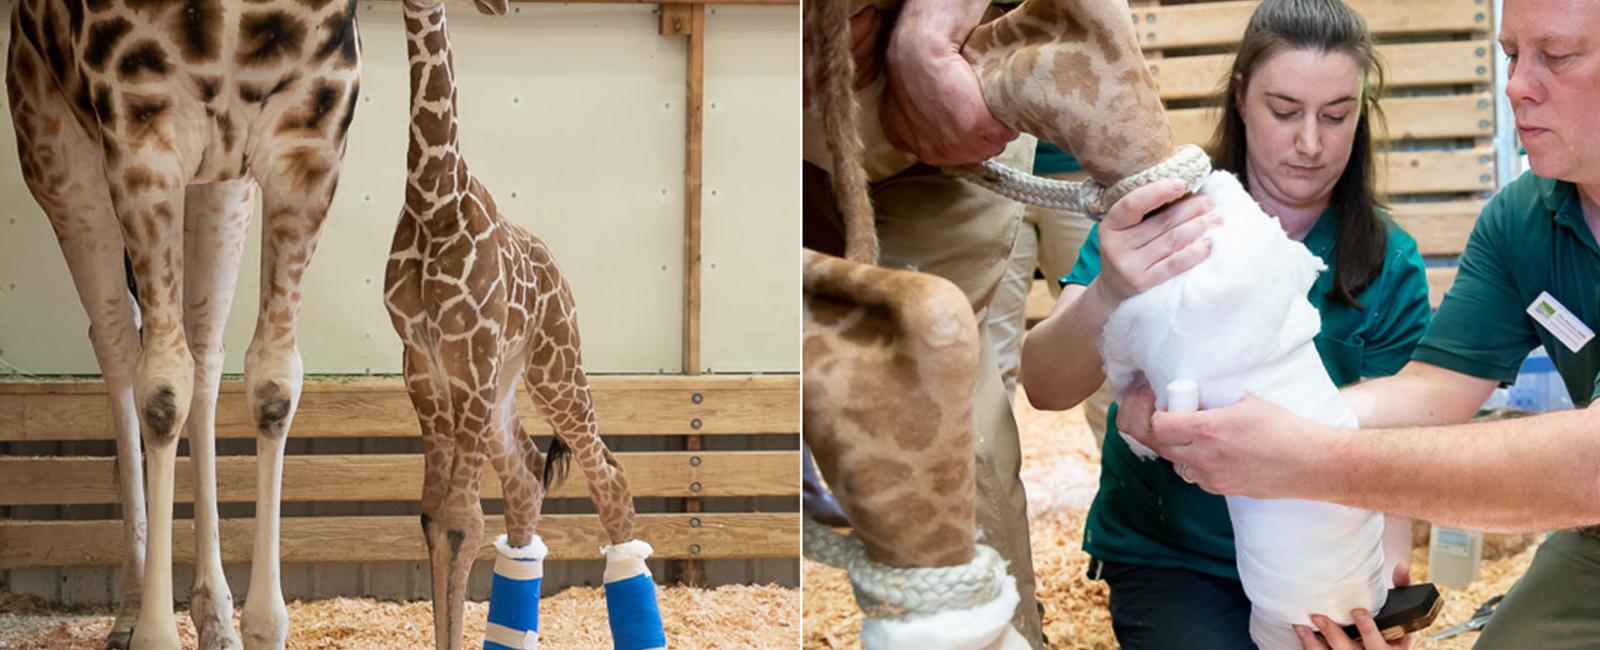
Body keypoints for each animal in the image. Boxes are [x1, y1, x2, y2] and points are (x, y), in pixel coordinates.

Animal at [380, 1, 662, 650]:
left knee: (608, 478)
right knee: (528, 480)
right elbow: (433, 517)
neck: (433, 203)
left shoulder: (471, 356)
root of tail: (561, 274)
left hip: (554, 369)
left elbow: (461, 520)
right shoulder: (423, 366)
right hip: (504, 389)